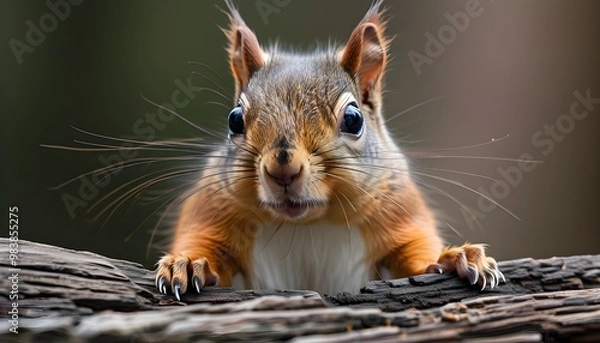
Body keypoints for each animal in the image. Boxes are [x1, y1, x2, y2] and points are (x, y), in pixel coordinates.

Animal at [154, 0, 502, 300]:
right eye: (235, 120)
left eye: (353, 119)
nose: (283, 167)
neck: (307, 225)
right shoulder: (213, 210)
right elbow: (206, 246)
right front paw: (186, 264)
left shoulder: (400, 211)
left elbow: (416, 256)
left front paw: (456, 258)